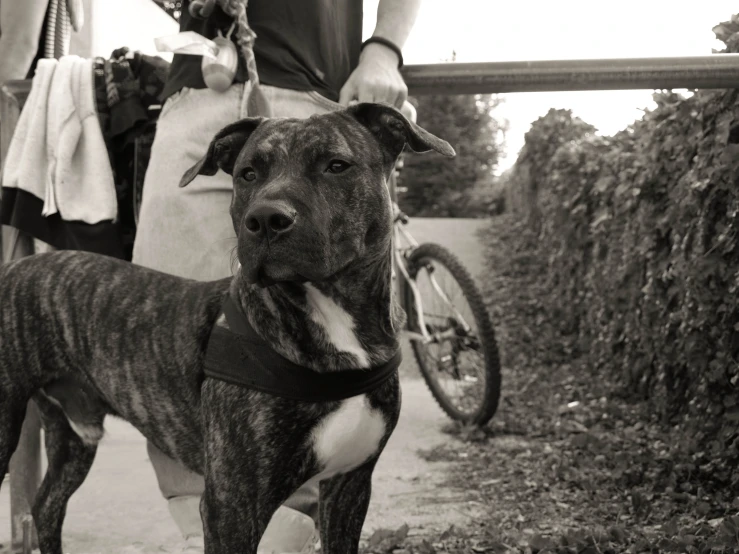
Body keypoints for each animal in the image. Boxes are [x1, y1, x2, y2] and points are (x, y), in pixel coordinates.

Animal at [0, 101, 454, 548]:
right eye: (247, 173)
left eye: (337, 165)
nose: (266, 218)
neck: (333, 320)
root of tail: (16, 266)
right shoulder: (232, 503)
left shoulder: (350, 487)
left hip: (74, 437)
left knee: (48, 506)